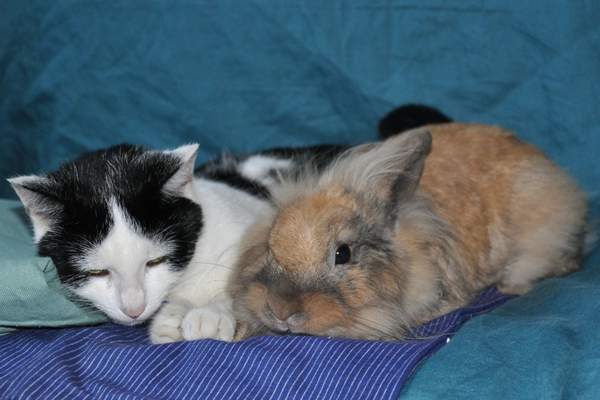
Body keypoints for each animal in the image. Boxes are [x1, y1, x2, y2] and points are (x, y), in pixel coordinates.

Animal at [8, 104, 450, 344]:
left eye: (154, 262)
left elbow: (242, 279)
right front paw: (170, 320)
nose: (134, 308)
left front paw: (210, 314)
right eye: (98, 273)